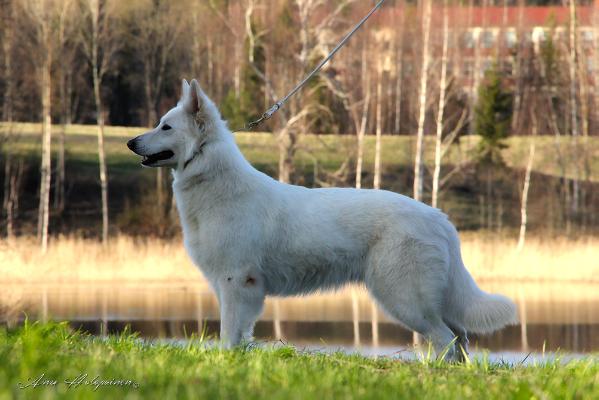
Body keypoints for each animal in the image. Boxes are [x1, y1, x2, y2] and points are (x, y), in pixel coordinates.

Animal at [129, 78, 516, 360]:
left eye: (165, 127)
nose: (131, 142)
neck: (215, 182)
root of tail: (439, 218)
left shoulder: (236, 282)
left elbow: (228, 333)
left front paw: (225, 362)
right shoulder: (238, 288)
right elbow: (238, 335)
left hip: (405, 299)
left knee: (445, 339)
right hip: (428, 300)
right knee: (460, 338)